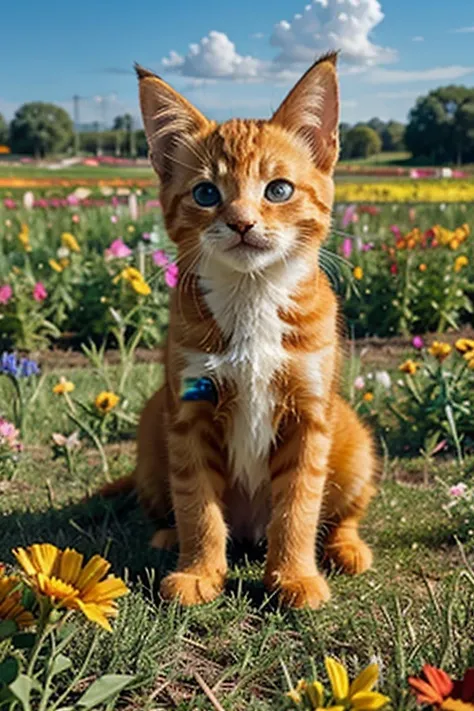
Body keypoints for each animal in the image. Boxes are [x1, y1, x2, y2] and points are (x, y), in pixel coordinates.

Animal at [105, 55, 376, 608]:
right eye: (206, 193)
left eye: (279, 189)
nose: (243, 223)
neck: (253, 298)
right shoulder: (188, 408)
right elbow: (197, 502)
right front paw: (199, 570)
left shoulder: (310, 414)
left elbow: (299, 504)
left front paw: (293, 576)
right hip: (151, 428)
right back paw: (167, 535)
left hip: (354, 438)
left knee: (342, 510)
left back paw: (346, 545)